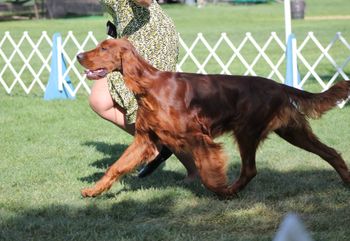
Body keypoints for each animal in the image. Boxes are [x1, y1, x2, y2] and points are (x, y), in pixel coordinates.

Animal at [78, 38, 350, 199]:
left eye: (104, 48)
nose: (79, 55)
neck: (150, 87)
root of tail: (278, 85)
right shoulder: (144, 140)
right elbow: (116, 167)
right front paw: (93, 190)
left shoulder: (199, 137)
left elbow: (208, 175)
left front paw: (219, 190)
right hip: (292, 131)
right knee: (330, 153)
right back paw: (346, 181)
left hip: (247, 131)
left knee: (250, 169)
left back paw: (231, 191)